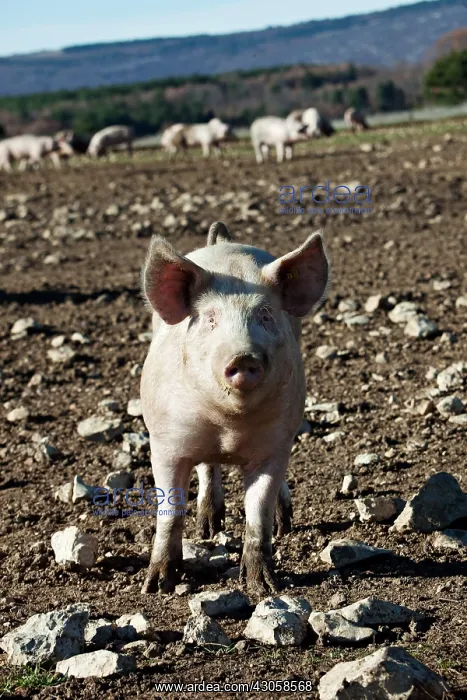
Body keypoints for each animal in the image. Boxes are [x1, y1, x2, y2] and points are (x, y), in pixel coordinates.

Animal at [140, 221, 329, 597]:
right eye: (210, 318)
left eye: (265, 315)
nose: (243, 356)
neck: (229, 425)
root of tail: (223, 241)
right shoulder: (164, 443)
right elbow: (170, 512)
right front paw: (156, 587)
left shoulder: (274, 445)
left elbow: (258, 514)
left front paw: (264, 588)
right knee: (208, 468)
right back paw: (209, 529)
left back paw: (285, 524)